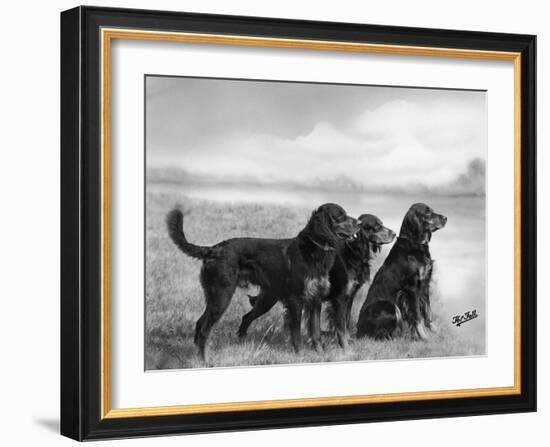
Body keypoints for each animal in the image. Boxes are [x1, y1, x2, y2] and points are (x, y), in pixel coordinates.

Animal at [166, 204, 360, 360]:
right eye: (340, 215)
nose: (358, 222)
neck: (313, 250)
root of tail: (213, 249)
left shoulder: (315, 299)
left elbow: (316, 331)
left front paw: (320, 354)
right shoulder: (296, 300)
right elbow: (296, 332)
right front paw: (300, 355)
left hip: (261, 299)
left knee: (218, 321)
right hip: (221, 296)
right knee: (204, 328)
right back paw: (204, 360)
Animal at [244, 215, 394, 348]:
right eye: (377, 226)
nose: (394, 233)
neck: (351, 254)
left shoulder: (349, 296)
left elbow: (346, 320)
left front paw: (348, 341)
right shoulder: (339, 298)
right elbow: (341, 324)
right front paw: (344, 346)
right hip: (270, 298)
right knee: (250, 317)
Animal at [358, 203, 448, 340]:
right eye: (427, 212)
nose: (445, 218)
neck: (415, 244)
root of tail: (358, 330)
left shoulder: (425, 283)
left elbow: (427, 311)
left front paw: (434, 331)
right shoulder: (412, 287)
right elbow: (417, 316)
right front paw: (424, 337)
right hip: (390, 306)